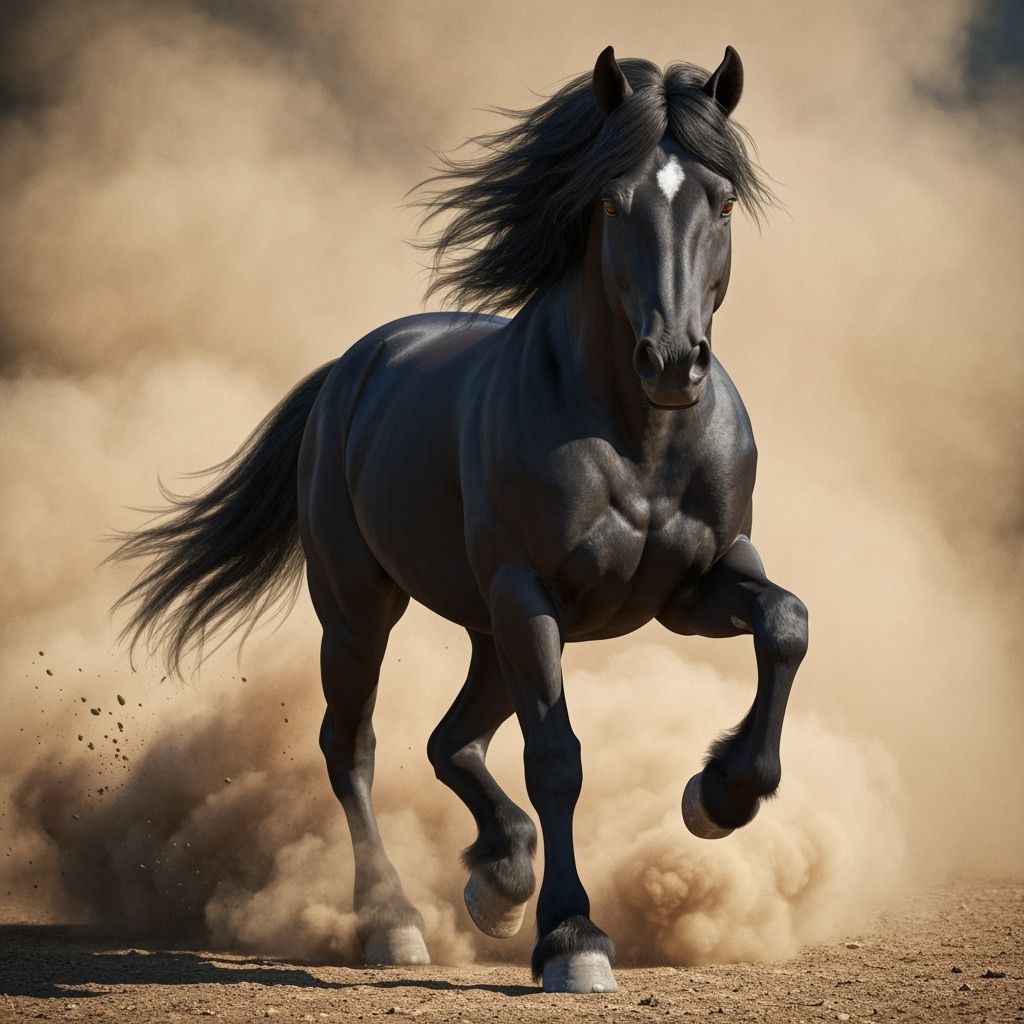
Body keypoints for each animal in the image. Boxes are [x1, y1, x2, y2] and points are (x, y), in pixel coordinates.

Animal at [112, 46, 808, 994]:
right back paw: (396, 923)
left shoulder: (696, 584)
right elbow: (557, 758)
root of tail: (354, 367)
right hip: (365, 610)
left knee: (452, 742)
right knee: (353, 747)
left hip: (490, 631)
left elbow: (785, 623)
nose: (672, 362)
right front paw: (572, 939)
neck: (639, 437)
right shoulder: (530, 593)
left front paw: (719, 795)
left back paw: (498, 878)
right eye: (612, 201)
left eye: (724, 200)